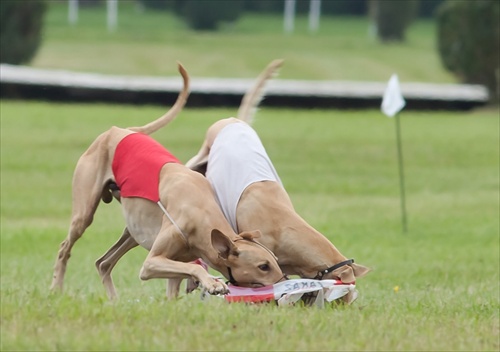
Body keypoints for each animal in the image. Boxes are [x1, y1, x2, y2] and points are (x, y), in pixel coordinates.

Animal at [51, 64, 286, 300]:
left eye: (276, 261)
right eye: (263, 266)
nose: (286, 282)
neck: (201, 212)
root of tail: (124, 130)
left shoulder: (176, 261)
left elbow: (176, 287)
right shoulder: (151, 263)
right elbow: (194, 267)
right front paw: (213, 284)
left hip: (133, 230)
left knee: (103, 263)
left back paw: (113, 300)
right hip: (84, 214)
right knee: (64, 248)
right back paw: (56, 289)